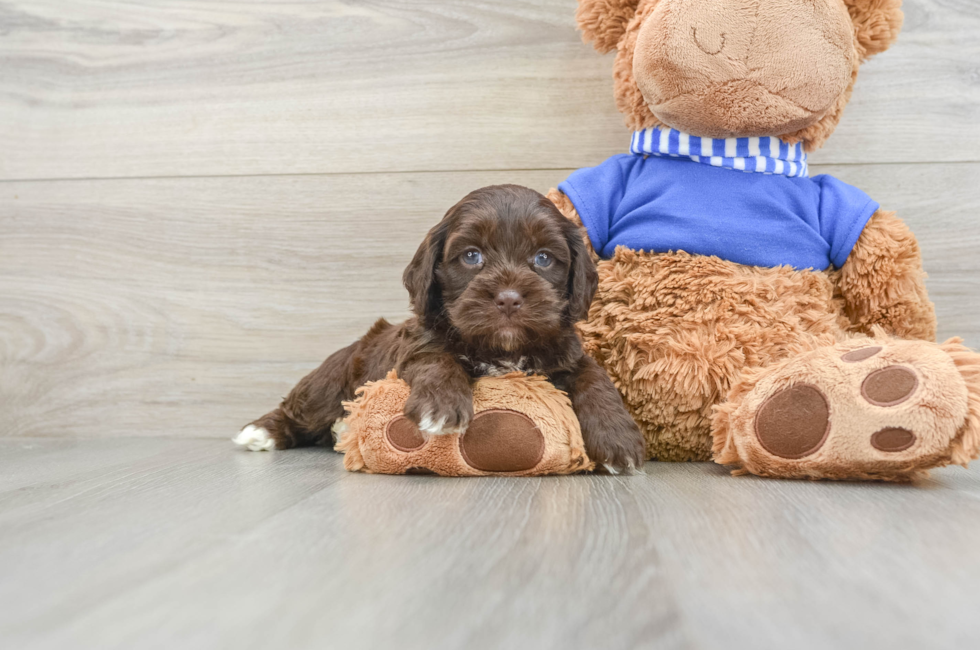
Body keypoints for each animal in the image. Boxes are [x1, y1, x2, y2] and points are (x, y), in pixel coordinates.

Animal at [237, 182, 648, 470]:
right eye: (472, 256)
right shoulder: (418, 342)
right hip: (331, 381)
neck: (501, 347)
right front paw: (441, 406)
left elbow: (595, 377)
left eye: (544, 258)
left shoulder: (566, 352)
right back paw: (261, 431)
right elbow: (437, 360)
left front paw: (618, 439)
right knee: (301, 408)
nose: (509, 298)